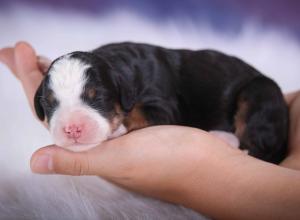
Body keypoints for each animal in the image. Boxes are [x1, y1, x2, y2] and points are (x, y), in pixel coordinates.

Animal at [34, 42, 288, 163]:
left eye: (98, 97)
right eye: (50, 104)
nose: (72, 128)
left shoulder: (164, 105)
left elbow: (140, 113)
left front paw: (120, 128)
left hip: (260, 94)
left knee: (255, 147)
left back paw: (223, 137)